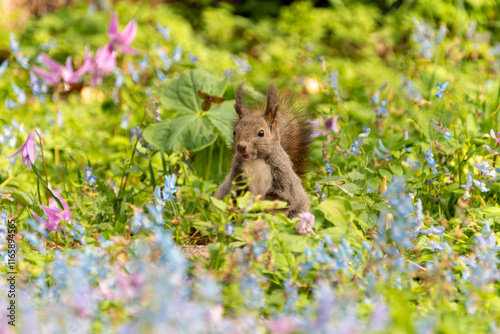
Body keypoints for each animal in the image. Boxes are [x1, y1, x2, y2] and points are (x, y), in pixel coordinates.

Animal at [215, 83, 312, 219]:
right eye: (234, 132)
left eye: (261, 133)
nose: (241, 146)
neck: (256, 160)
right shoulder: (237, 172)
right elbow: (238, 192)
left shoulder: (282, 175)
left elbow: (280, 197)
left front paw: (258, 206)